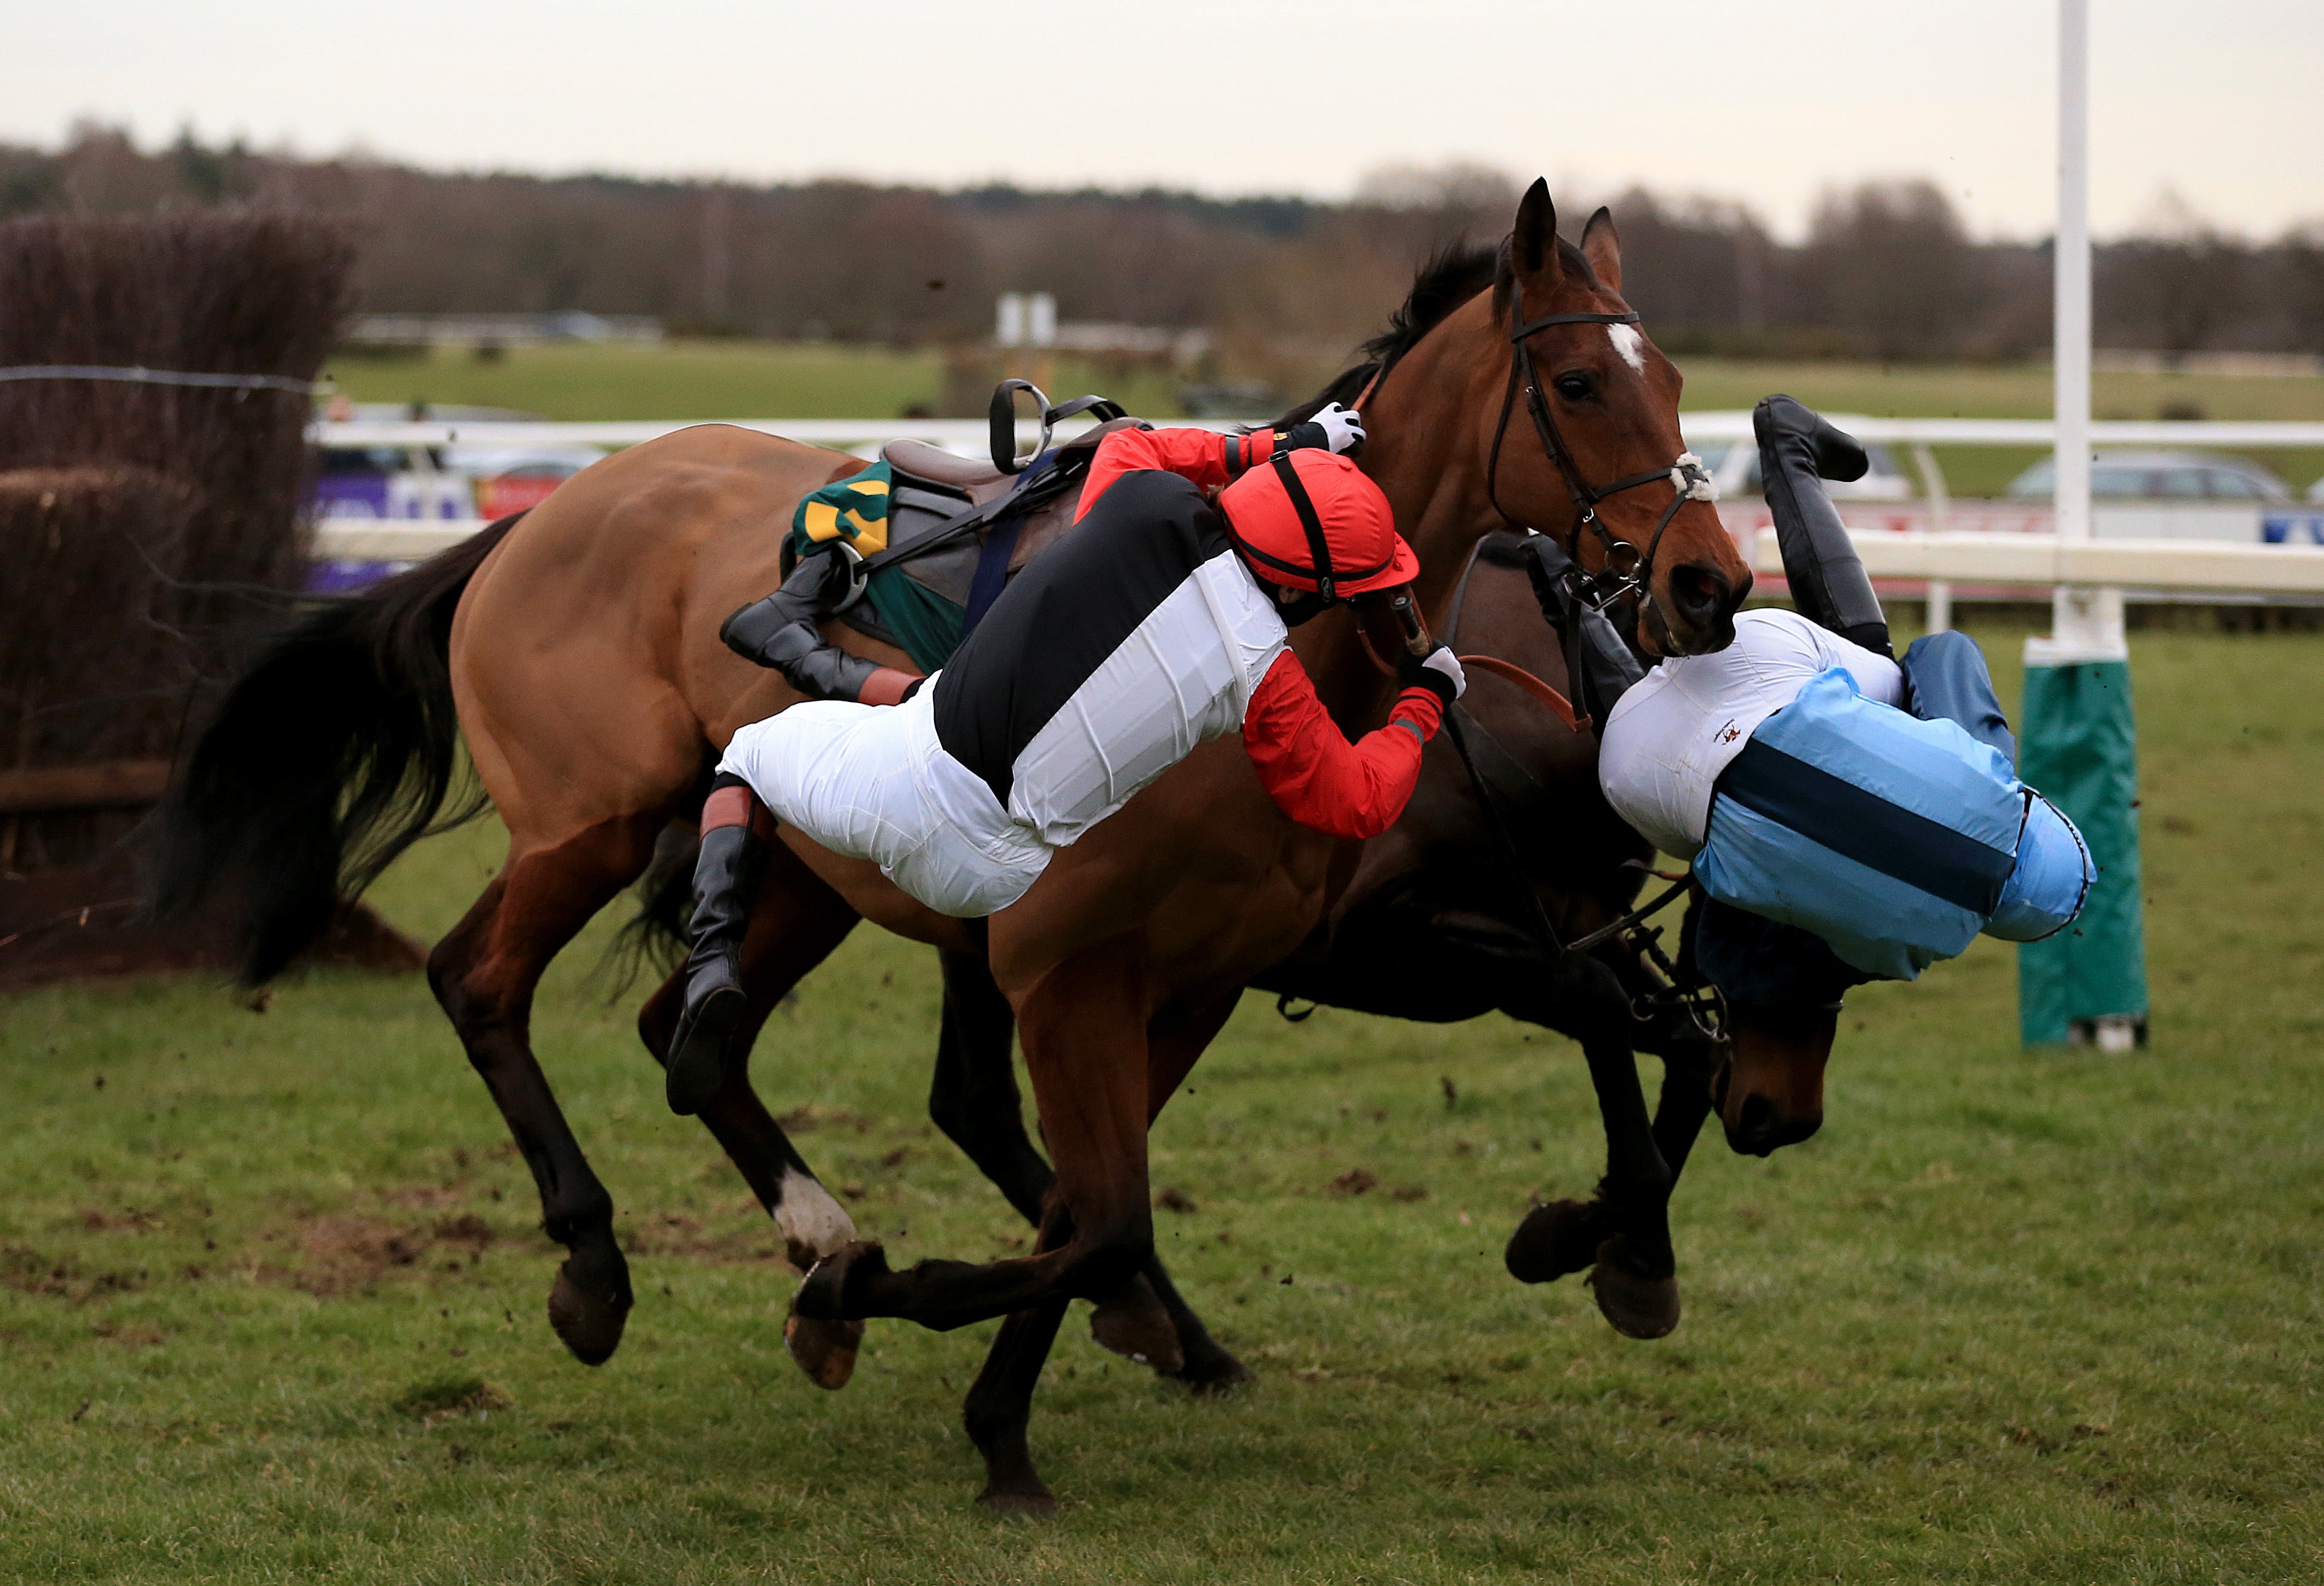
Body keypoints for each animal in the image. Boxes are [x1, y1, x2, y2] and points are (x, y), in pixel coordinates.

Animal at [159, 179, 1747, 1497]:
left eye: (1678, 381)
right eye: (1579, 380)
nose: (1710, 583)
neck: (1257, 629)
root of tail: (538, 515)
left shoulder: (1198, 970)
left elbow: (1098, 1206)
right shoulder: (1077, 966)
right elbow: (1094, 1209)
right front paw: (982, 1376)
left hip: (808, 872)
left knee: (696, 1031)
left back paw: (828, 1234)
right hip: (587, 824)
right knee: (482, 982)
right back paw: (603, 1262)